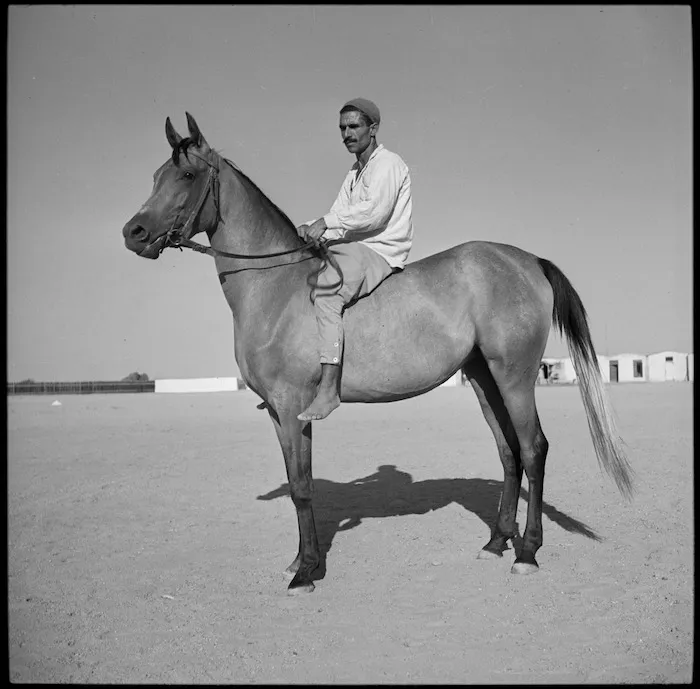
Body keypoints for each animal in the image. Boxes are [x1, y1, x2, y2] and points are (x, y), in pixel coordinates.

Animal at [122, 112, 634, 595]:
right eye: (156, 175)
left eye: (187, 175)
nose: (134, 232)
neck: (277, 286)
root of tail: (528, 261)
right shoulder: (277, 414)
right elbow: (297, 482)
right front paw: (299, 560)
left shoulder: (291, 408)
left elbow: (303, 487)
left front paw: (306, 572)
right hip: (484, 378)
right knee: (509, 452)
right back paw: (495, 541)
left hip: (516, 377)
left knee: (533, 449)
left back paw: (527, 551)